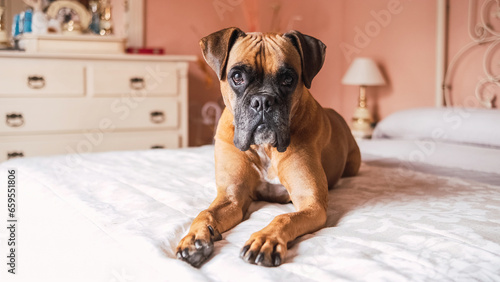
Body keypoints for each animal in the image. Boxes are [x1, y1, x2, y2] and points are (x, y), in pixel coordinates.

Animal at [176, 27, 360, 268]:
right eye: (237, 77)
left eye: (288, 79)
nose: (262, 101)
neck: (265, 148)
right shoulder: (231, 197)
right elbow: (205, 213)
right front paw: (194, 238)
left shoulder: (311, 203)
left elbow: (284, 217)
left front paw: (265, 240)